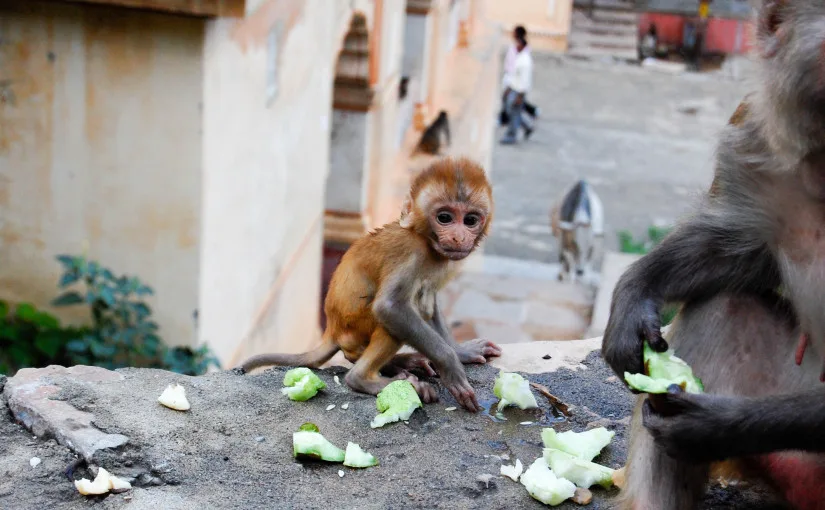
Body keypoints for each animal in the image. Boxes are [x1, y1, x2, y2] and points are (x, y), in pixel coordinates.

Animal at [238, 157, 501, 412]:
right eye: (444, 217)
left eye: (470, 220)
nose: (458, 237)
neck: (427, 243)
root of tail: (331, 329)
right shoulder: (412, 253)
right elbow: (390, 307)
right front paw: (451, 367)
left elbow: (432, 303)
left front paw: (461, 351)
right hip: (355, 328)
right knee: (394, 319)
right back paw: (366, 379)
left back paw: (402, 363)